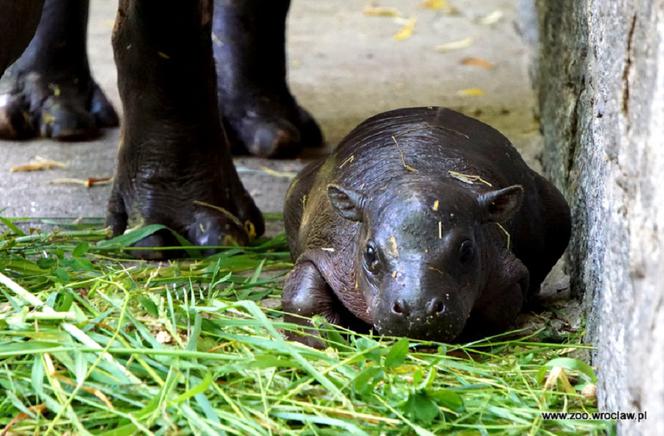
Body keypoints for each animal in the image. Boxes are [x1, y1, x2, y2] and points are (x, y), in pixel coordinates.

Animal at [282, 107, 568, 346]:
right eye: (370, 253)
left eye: (466, 250)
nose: (417, 310)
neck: (418, 174)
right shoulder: (328, 250)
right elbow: (301, 298)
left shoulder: (506, 270)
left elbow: (499, 308)